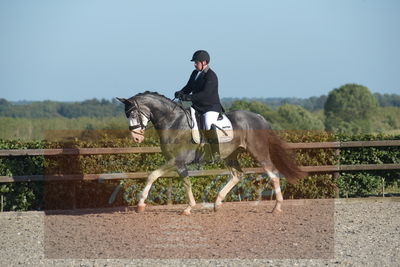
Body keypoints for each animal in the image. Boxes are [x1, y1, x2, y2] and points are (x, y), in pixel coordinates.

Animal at [115, 92, 306, 216]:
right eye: (127, 115)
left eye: (133, 114)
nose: (136, 138)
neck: (173, 122)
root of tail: (259, 117)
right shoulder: (179, 163)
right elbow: (186, 183)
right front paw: (189, 208)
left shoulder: (175, 160)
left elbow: (152, 175)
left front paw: (141, 204)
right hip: (230, 155)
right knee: (237, 175)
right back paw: (217, 203)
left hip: (258, 151)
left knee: (272, 173)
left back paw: (277, 207)